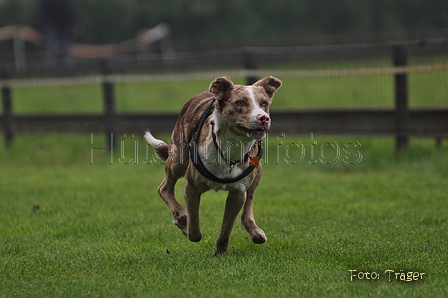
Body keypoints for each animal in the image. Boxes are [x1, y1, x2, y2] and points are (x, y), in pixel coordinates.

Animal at [145, 75, 282, 255]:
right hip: (179, 157)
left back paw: (256, 232)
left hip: (256, 171)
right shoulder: (191, 187)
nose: (263, 118)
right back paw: (180, 216)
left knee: (248, 205)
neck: (231, 148)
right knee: (164, 188)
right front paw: (185, 225)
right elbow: (194, 230)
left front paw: (221, 253)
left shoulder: (238, 193)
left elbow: (227, 228)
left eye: (264, 103)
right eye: (240, 102)